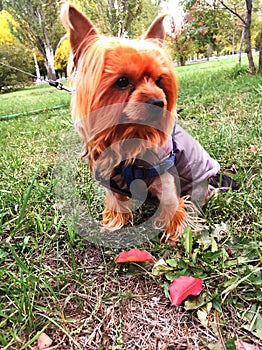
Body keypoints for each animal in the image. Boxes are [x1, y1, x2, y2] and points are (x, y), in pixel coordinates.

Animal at [61, 4, 237, 246]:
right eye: (122, 81)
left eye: (159, 80)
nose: (159, 102)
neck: (126, 135)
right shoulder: (110, 178)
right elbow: (115, 201)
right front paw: (113, 223)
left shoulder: (165, 174)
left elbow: (172, 204)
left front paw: (175, 234)